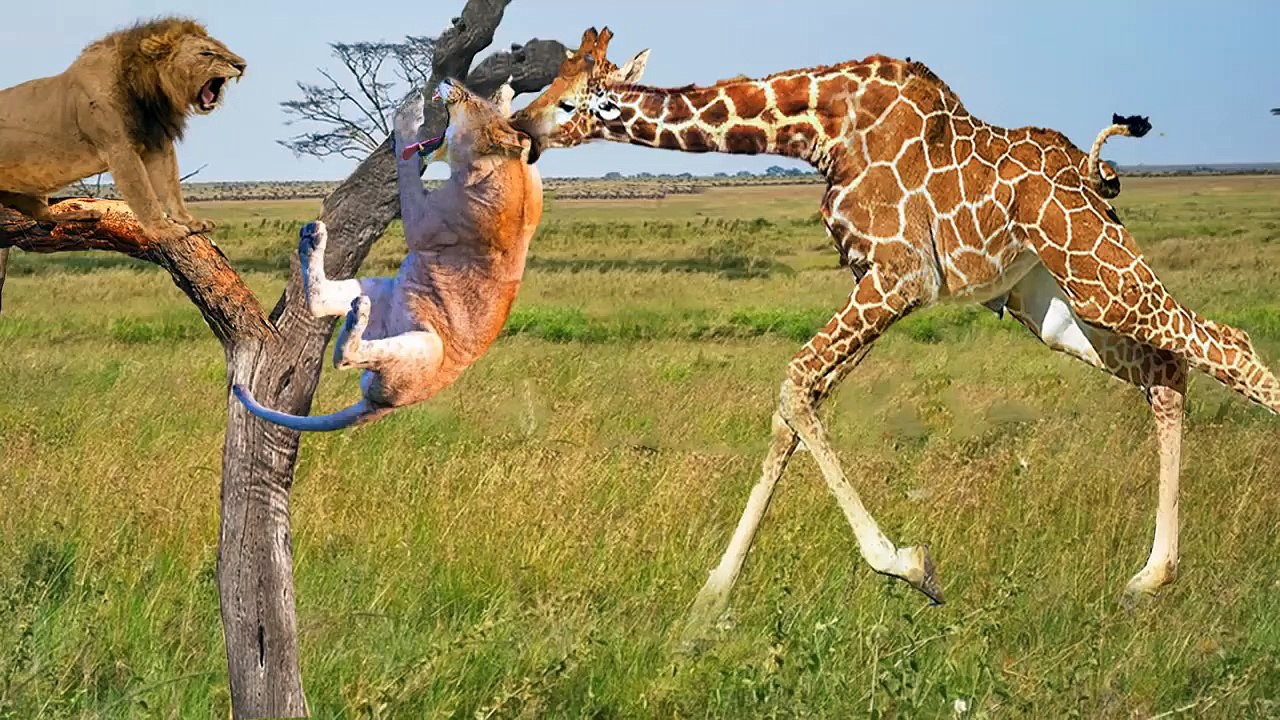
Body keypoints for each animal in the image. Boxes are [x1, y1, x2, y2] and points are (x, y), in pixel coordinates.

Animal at [0, 17, 245, 242]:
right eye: (206, 53)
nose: (242, 65)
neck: (150, 93)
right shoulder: (119, 148)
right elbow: (143, 195)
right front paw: (163, 230)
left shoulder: (158, 143)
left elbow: (170, 187)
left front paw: (189, 221)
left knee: (43, 215)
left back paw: (83, 214)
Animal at [233, 78, 543, 431]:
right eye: (476, 97)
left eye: (467, 100)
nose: (450, 82)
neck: (511, 168)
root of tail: (385, 404)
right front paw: (506, 95)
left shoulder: (423, 220)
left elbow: (407, 168)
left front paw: (407, 120)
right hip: (379, 289)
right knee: (321, 302)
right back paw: (313, 243)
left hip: (428, 346)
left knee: (344, 356)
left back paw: (354, 315)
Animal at [513, 28, 1280, 634]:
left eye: (573, 100)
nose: (521, 127)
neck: (818, 131)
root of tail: (1093, 173)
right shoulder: (873, 283)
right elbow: (796, 406)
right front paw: (708, 602)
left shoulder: (897, 277)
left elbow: (793, 383)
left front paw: (910, 566)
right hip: (1056, 304)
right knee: (1168, 372)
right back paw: (1148, 577)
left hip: (1097, 270)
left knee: (1227, 345)